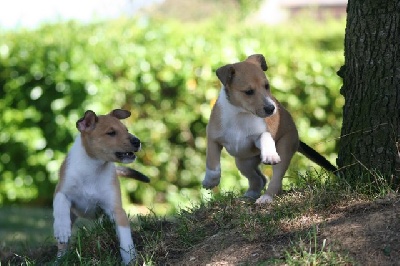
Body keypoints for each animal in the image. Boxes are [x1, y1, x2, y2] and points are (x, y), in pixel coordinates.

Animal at [52, 108, 148, 264]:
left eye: (126, 130)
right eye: (111, 133)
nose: (137, 141)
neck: (93, 168)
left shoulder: (116, 210)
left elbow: (126, 239)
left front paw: (130, 260)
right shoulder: (61, 191)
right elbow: (60, 205)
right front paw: (61, 229)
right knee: (62, 245)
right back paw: (60, 257)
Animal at [203, 54, 338, 204]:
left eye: (266, 86)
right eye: (248, 92)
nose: (271, 108)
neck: (240, 114)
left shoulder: (259, 135)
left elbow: (265, 136)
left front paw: (270, 154)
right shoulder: (213, 138)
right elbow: (212, 163)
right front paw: (210, 181)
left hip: (284, 147)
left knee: (275, 181)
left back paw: (266, 198)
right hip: (243, 161)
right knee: (259, 179)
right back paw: (250, 194)